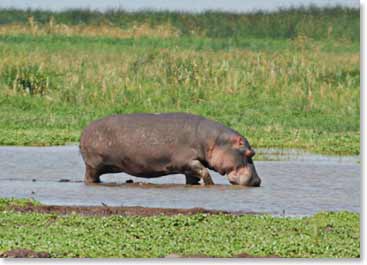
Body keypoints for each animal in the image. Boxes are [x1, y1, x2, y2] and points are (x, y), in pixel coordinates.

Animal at [80, 112, 262, 186]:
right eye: (250, 152)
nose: (258, 181)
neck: (215, 141)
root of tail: (85, 130)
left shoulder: (189, 167)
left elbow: (194, 176)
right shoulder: (186, 161)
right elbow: (204, 171)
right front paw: (211, 184)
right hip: (93, 166)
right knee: (90, 178)